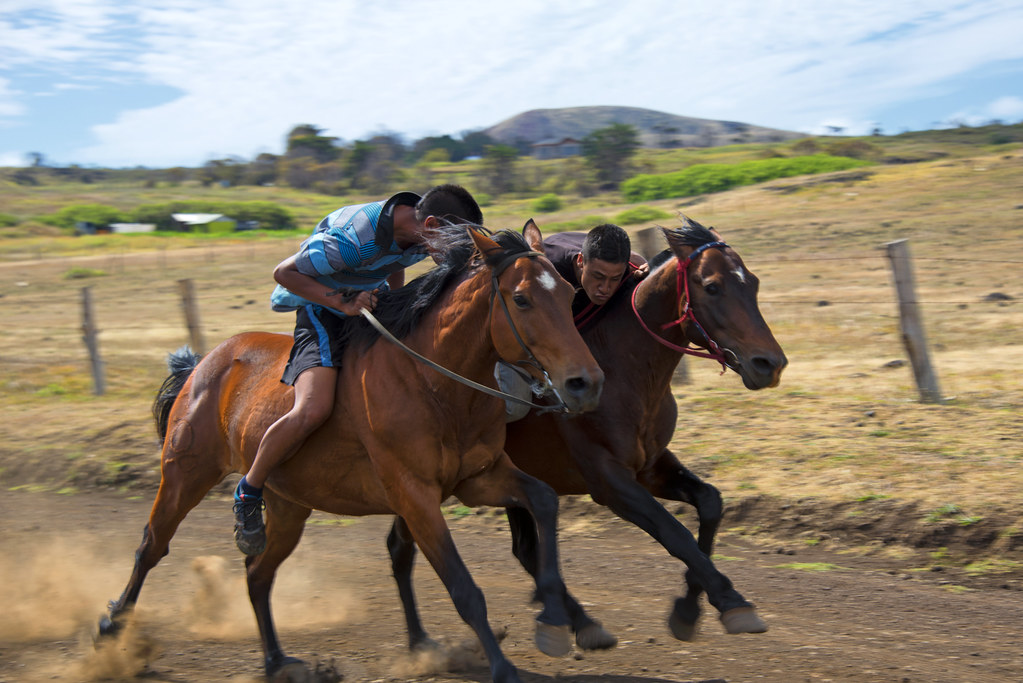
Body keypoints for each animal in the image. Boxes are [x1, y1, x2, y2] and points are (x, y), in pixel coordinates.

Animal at [97, 222, 606, 683]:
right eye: (521, 299)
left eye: (567, 292)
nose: (585, 382)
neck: (433, 383)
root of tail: (203, 364)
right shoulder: (415, 496)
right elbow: (463, 587)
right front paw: (503, 667)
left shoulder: (478, 478)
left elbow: (543, 499)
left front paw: (556, 620)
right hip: (186, 473)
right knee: (152, 545)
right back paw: (113, 627)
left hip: (288, 506)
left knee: (258, 573)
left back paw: (277, 661)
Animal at [387, 216, 787, 651]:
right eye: (712, 286)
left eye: (753, 281)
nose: (770, 364)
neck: (624, 371)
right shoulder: (607, 479)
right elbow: (673, 531)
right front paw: (729, 600)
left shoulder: (650, 465)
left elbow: (710, 503)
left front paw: (689, 607)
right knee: (404, 547)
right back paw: (423, 642)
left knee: (520, 549)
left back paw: (577, 621)